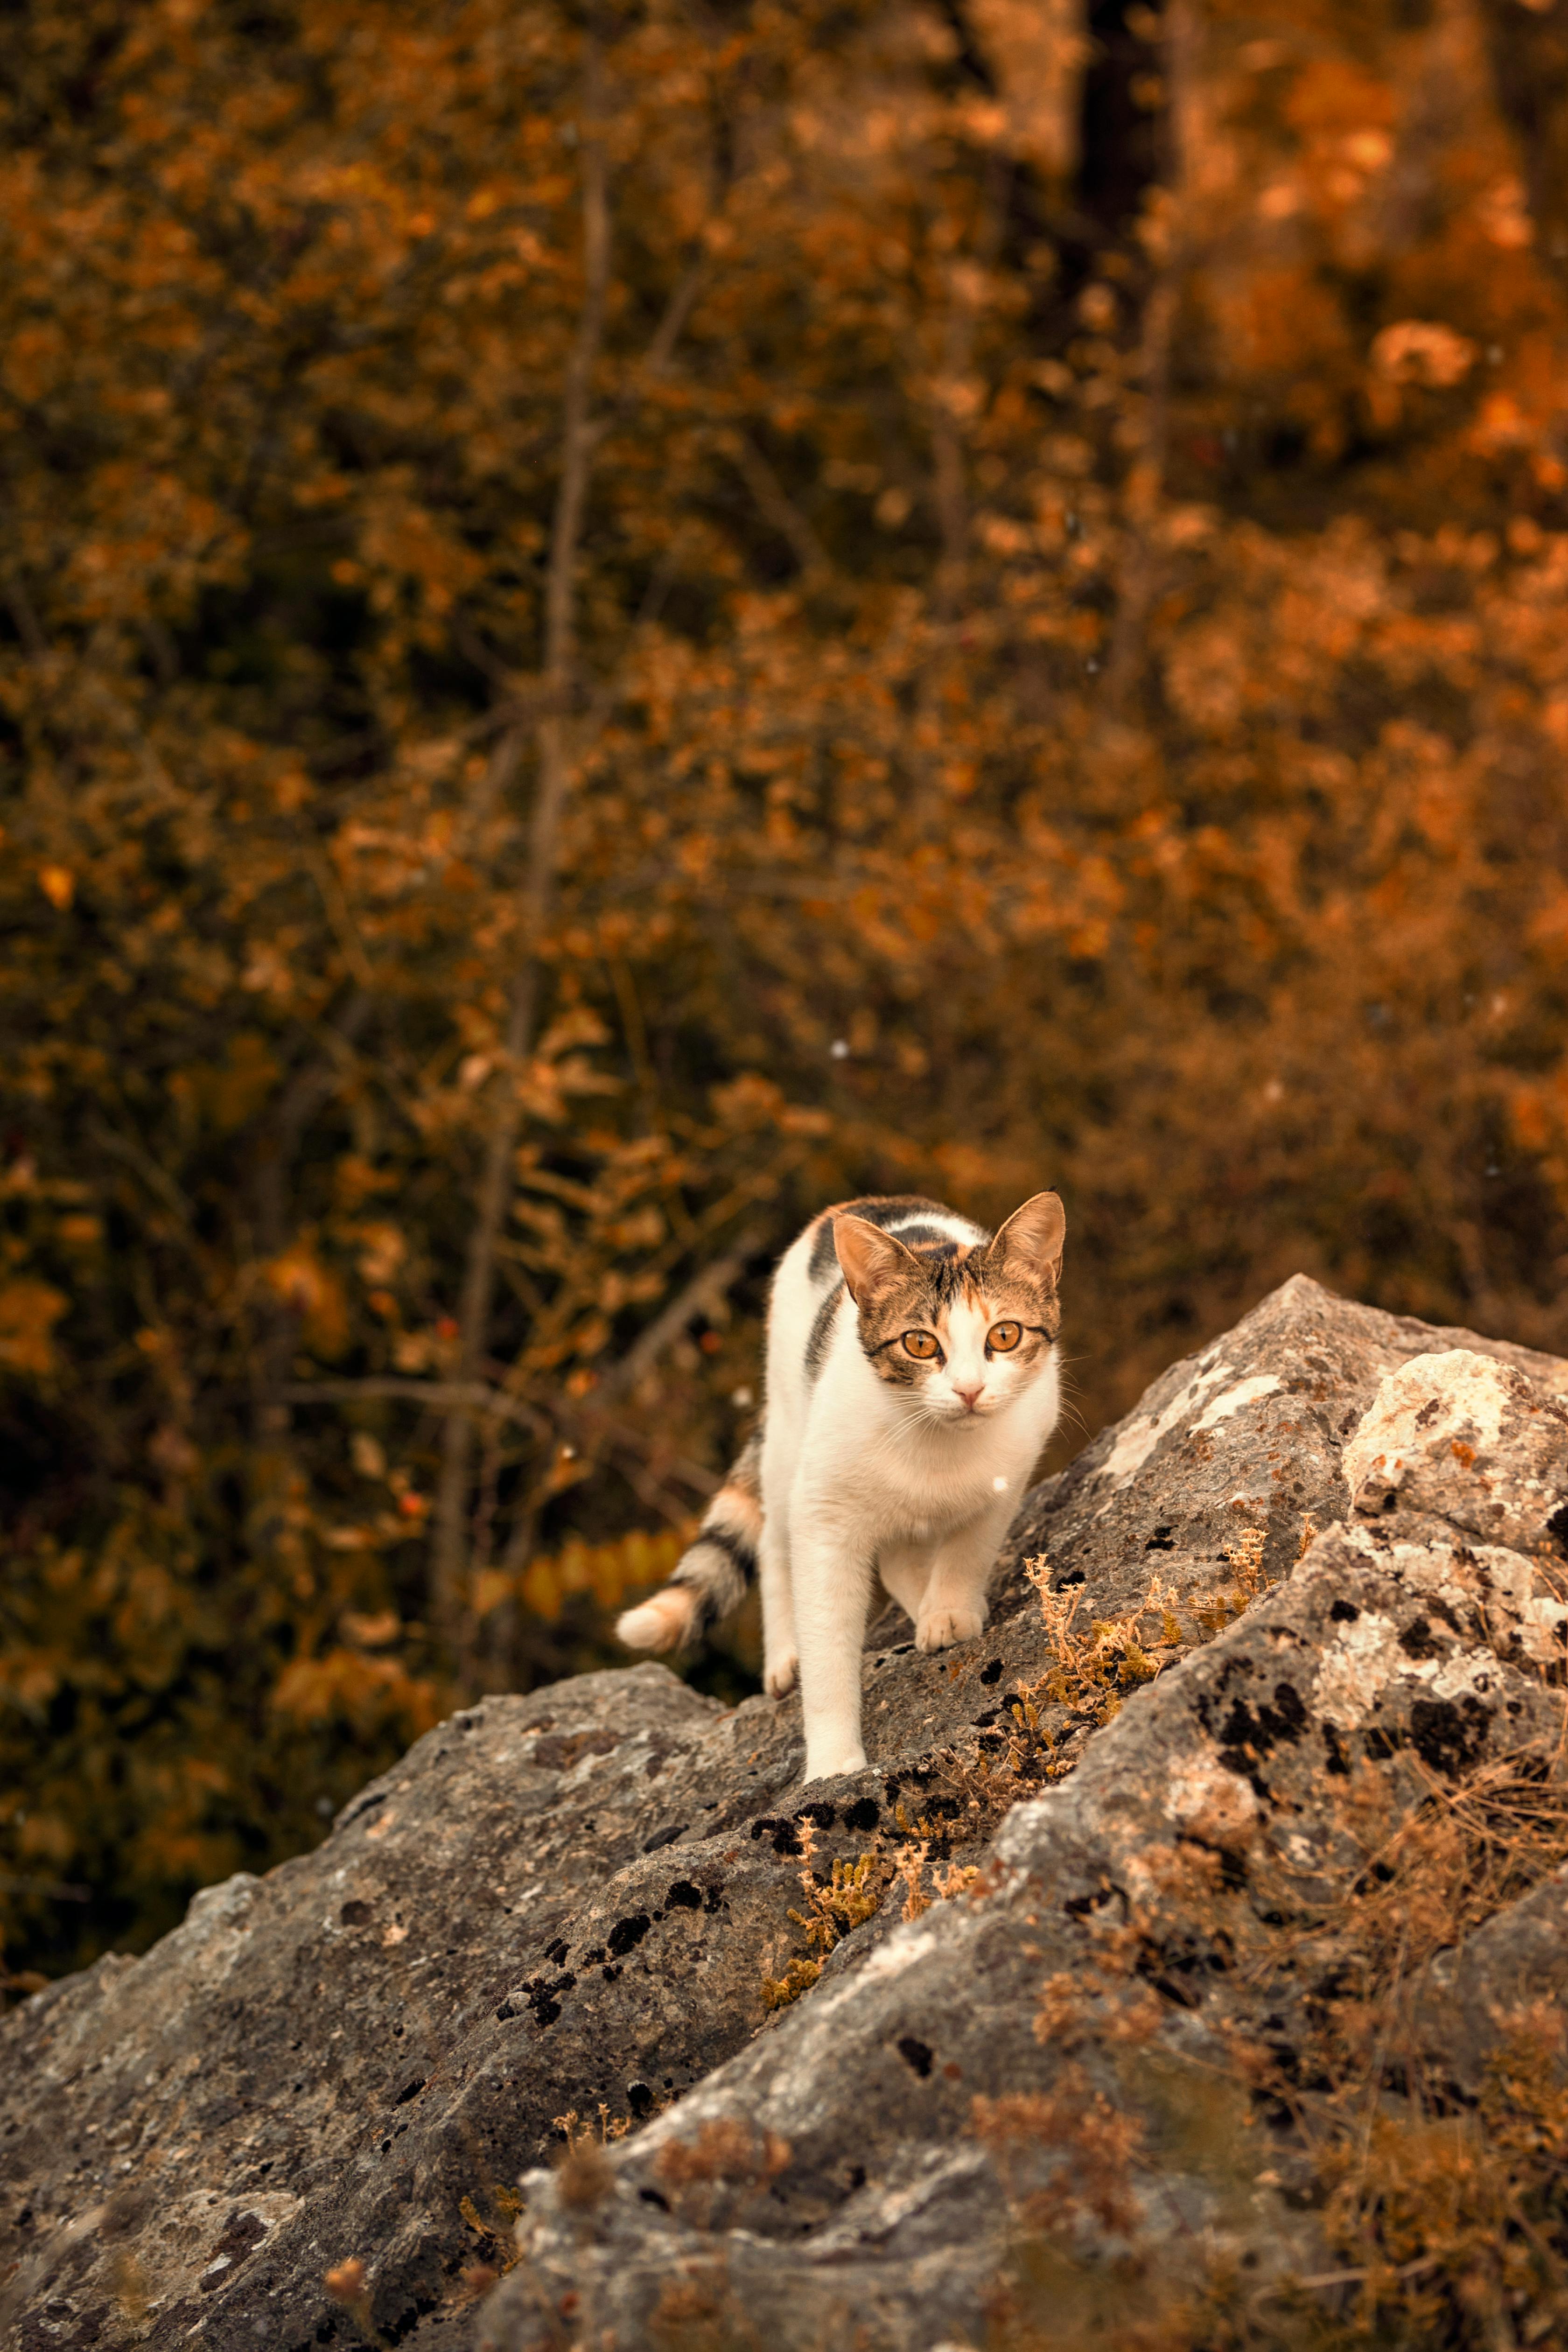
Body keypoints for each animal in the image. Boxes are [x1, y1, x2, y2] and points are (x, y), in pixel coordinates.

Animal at [616, 1195, 1067, 1778]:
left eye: (1005, 1336)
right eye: (920, 1344)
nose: (968, 1391)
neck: (937, 1445)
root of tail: (851, 1204)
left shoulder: (1011, 1471)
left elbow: (970, 1546)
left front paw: (948, 1611)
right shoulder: (823, 1517)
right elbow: (827, 1645)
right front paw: (833, 1764)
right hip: (789, 1431)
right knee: (774, 1542)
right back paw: (785, 1657)